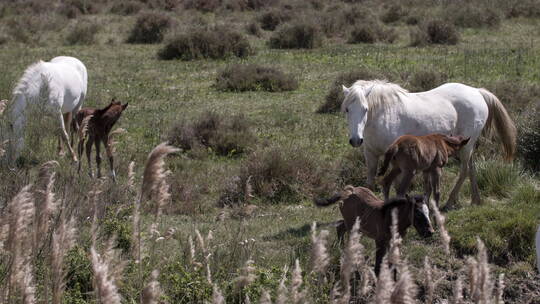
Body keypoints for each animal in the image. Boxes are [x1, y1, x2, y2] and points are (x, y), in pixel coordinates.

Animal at [342, 79, 516, 210]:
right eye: (347, 110)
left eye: (365, 109)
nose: (356, 140)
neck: (384, 115)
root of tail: (477, 91)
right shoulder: (371, 155)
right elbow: (370, 183)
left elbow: (397, 185)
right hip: (468, 146)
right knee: (471, 168)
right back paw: (475, 200)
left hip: (466, 147)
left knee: (464, 170)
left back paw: (449, 203)